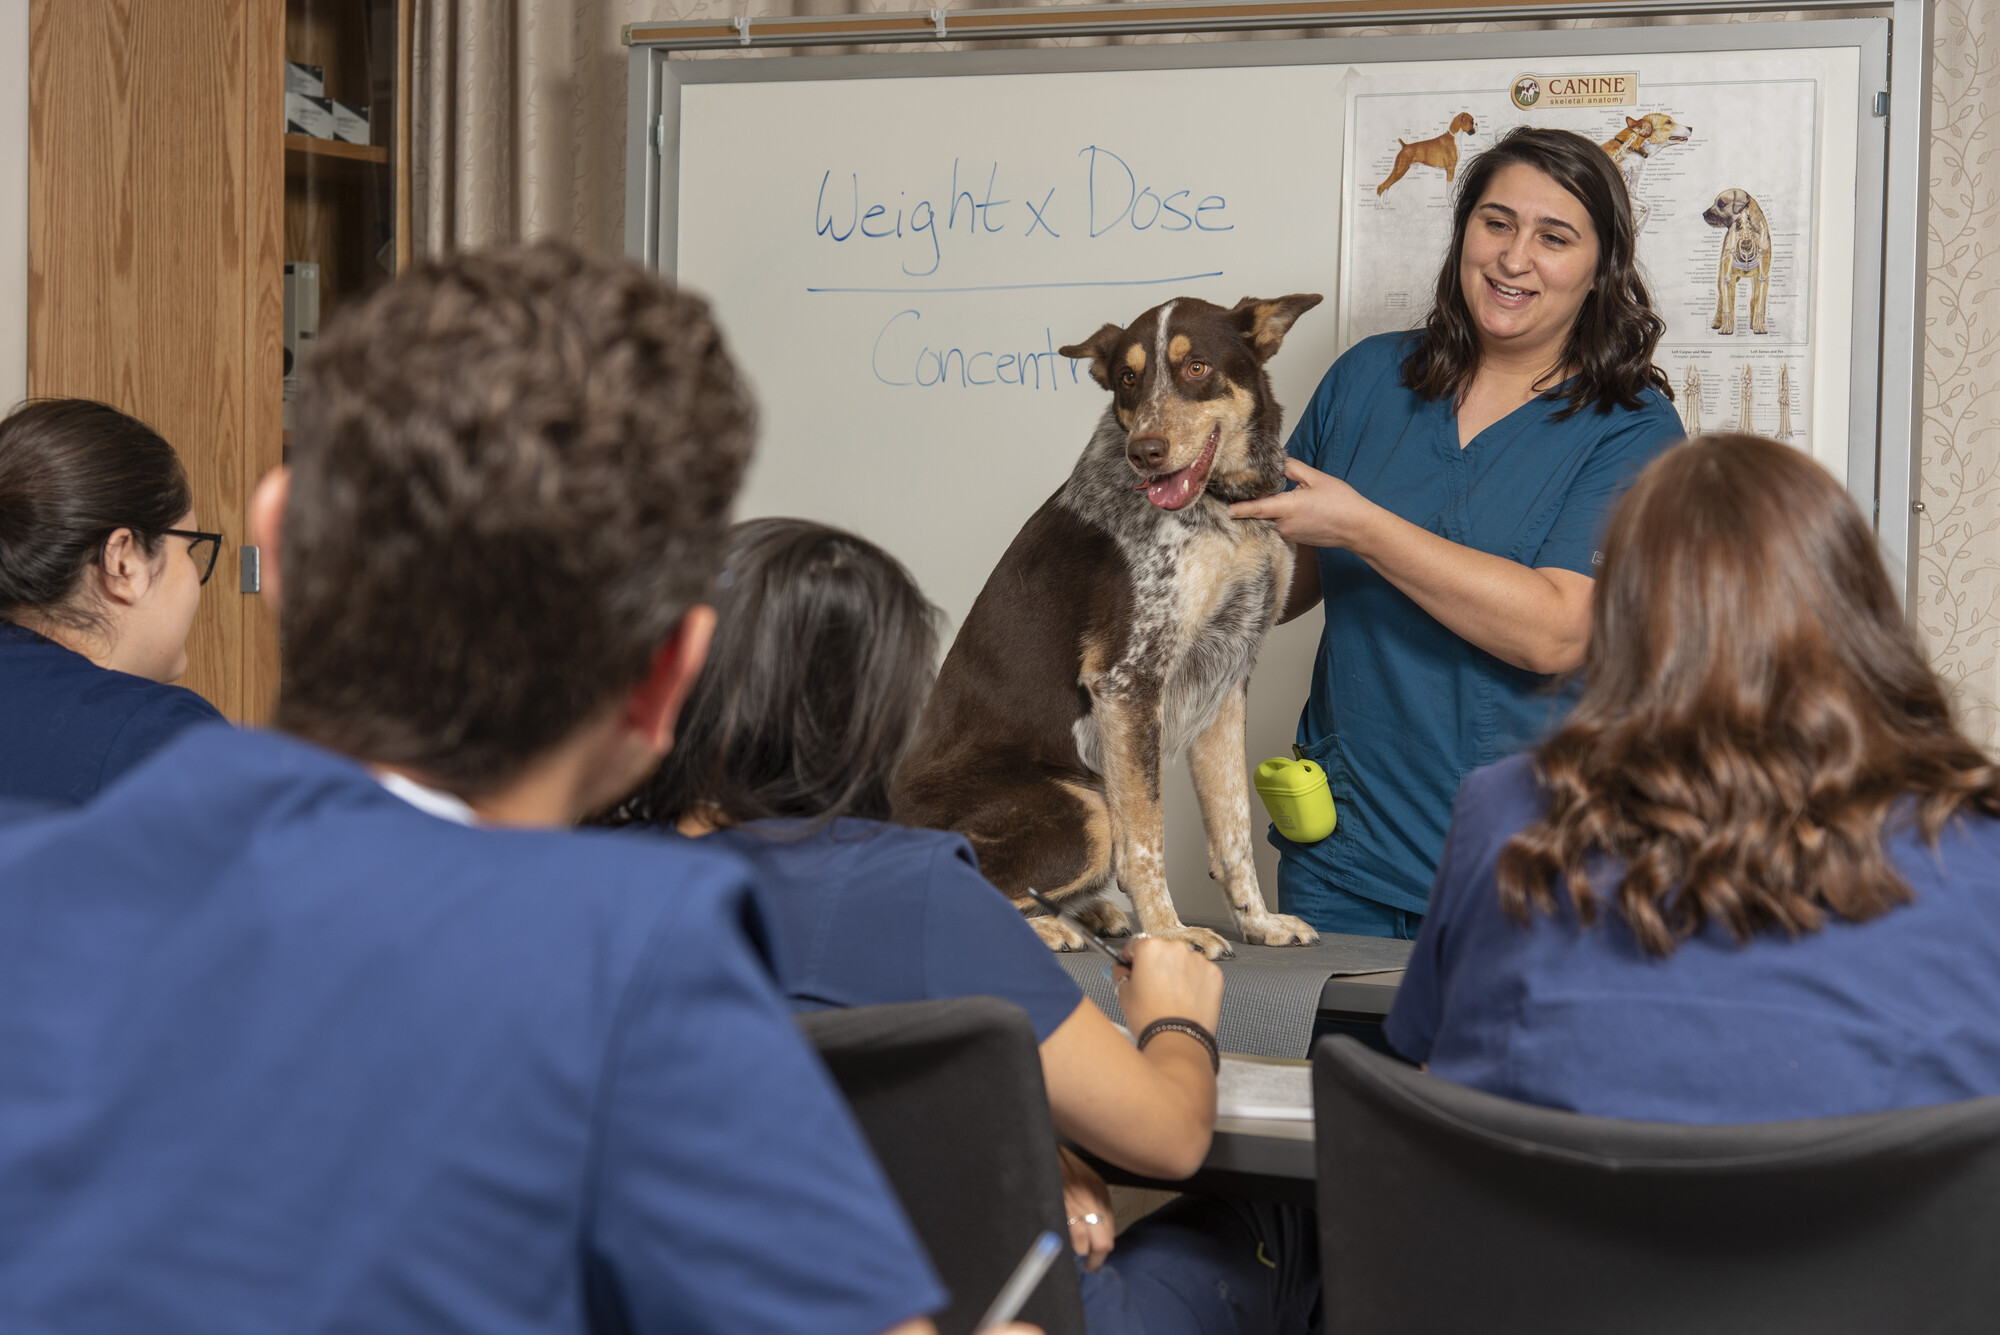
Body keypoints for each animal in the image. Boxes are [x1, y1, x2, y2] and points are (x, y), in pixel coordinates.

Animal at [896, 293, 1328, 959]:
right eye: (1127, 378)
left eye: (1197, 367)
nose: (1144, 452)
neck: (1224, 511)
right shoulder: (1128, 684)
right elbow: (1146, 841)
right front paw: (1172, 936)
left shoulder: (1226, 682)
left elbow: (1234, 831)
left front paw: (1259, 922)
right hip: (1087, 804)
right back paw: (1055, 925)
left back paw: (1090, 913)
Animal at [1704, 186, 1768, 333]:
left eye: (1721, 204)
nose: (1703, 214)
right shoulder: (1727, 277)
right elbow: (1728, 305)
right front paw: (1726, 328)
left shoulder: (1762, 277)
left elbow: (1759, 304)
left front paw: (1759, 326)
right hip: (1721, 278)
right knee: (1722, 300)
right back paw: (1717, 321)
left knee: (1754, 299)